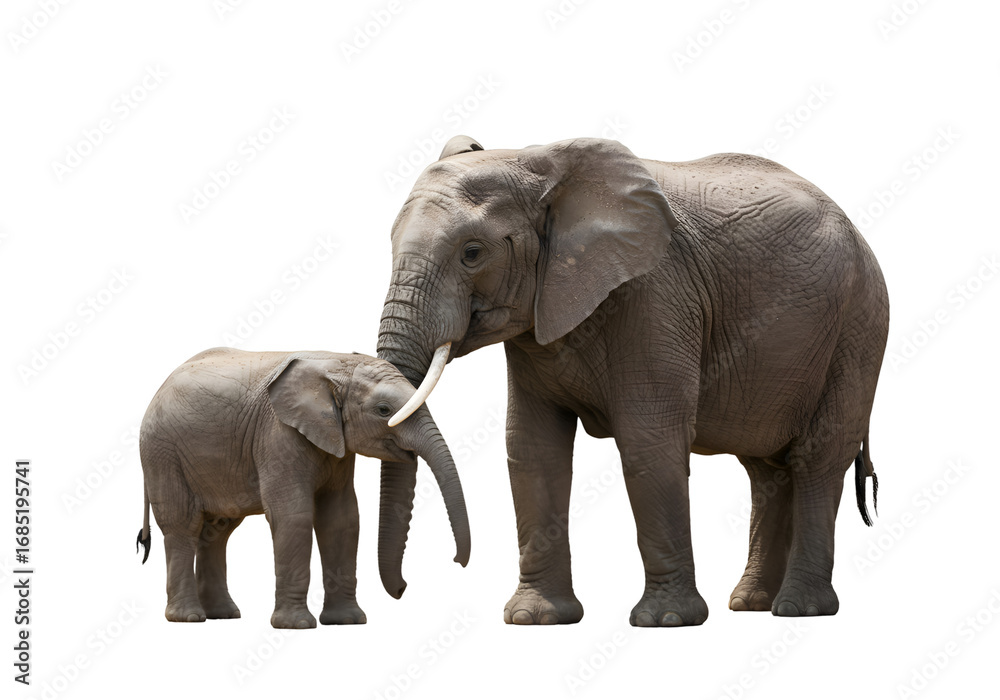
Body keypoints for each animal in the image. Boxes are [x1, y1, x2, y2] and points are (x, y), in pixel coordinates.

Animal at [136, 347, 470, 628]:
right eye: (384, 410)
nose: (402, 588)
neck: (335, 363)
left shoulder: (335, 444)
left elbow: (341, 519)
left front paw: (347, 621)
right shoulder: (278, 433)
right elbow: (293, 516)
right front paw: (296, 625)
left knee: (218, 530)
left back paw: (224, 615)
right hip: (162, 453)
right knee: (183, 526)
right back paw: (188, 618)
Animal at [376, 135, 888, 627]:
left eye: (472, 253)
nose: (410, 586)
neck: (534, 161)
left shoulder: (655, 294)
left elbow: (650, 442)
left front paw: (665, 620)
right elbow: (534, 450)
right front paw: (534, 619)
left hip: (858, 328)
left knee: (817, 458)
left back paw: (800, 609)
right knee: (766, 469)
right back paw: (752, 605)